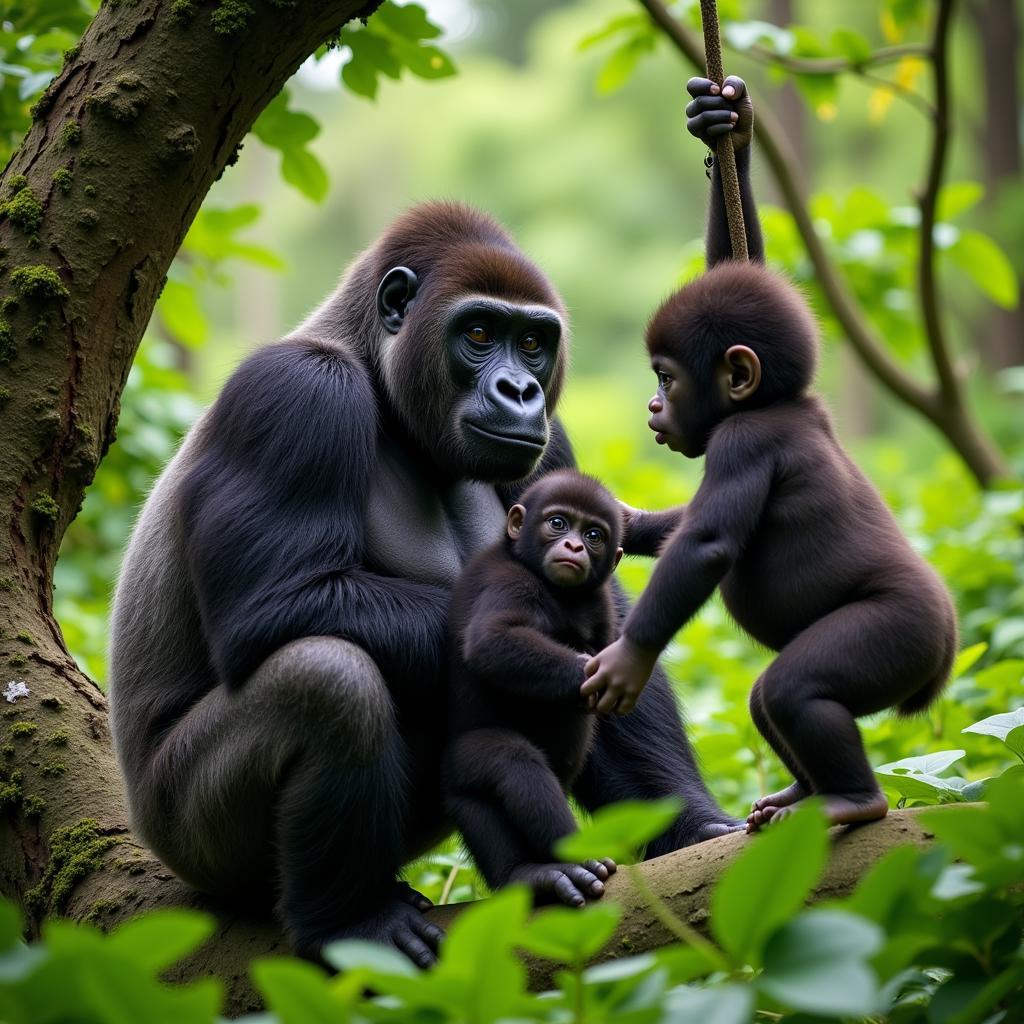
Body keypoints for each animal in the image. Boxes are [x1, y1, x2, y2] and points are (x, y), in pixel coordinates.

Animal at [448, 468, 622, 909]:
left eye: (594, 535)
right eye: (557, 523)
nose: (574, 545)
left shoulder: (601, 602)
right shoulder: (511, 581)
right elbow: (492, 641)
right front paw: (597, 676)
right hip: (463, 757)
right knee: (508, 764)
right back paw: (537, 870)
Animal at [585, 262, 958, 831]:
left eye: (667, 379)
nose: (653, 406)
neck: (777, 402)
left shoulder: (744, 439)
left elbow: (706, 543)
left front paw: (627, 659)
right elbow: (685, 526)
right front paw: (627, 523)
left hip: (899, 632)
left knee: (794, 690)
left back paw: (852, 800)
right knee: (766, 700)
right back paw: (802, 794)